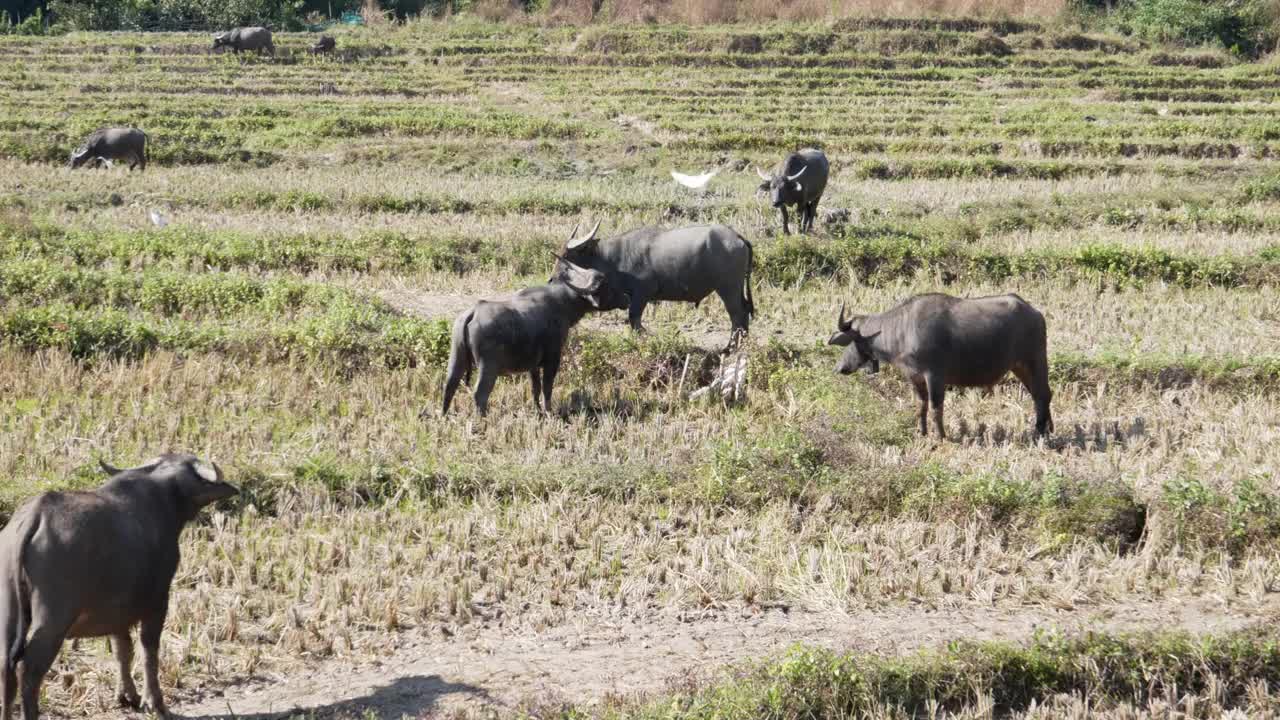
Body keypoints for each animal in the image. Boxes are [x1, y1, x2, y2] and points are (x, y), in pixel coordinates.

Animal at [0, 450, 238, 717]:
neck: (163, 500)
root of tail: (35, 516)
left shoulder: (117, 614)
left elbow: (122, 650)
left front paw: (127, 696)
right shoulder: (158, 603)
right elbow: (148, 651)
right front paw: (155, 703)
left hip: (10, 612)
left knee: (6, 668)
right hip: (53, 620)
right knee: (28, 669)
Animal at [442, 224, 627, 415]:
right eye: (605, 286)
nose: (626, 298)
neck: (562, 301)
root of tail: (472, 313)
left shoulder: (533, 365)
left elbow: (535, 388)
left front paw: (537, 410)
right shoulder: (552, 359)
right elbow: (547, 388)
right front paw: (548, 411)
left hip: (456, 358)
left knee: (449, 385)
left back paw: (444, 415)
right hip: (488, 367)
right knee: (480, 394)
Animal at [547, 222, 747, 348]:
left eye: (567, 256)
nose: (551, 279)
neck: (615, 258)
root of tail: (737, 237)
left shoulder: (642, 294)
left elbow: (634, 319)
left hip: (728, 289)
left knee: (737, 315)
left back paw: (730, 348)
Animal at [829, 292, 1049, 438]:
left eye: (850, 341)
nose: (840, 368)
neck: (904, 330)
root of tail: (1035, 312)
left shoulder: (934, 376)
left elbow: (936, 407)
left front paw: (941, 436)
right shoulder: (915, 378)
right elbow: (921, 406)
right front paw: (923, 432)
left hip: (1035, 361)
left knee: (1042, 394)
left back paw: (1039, 432)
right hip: (1020, 367)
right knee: (1039, 394)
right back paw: (1046, 430)